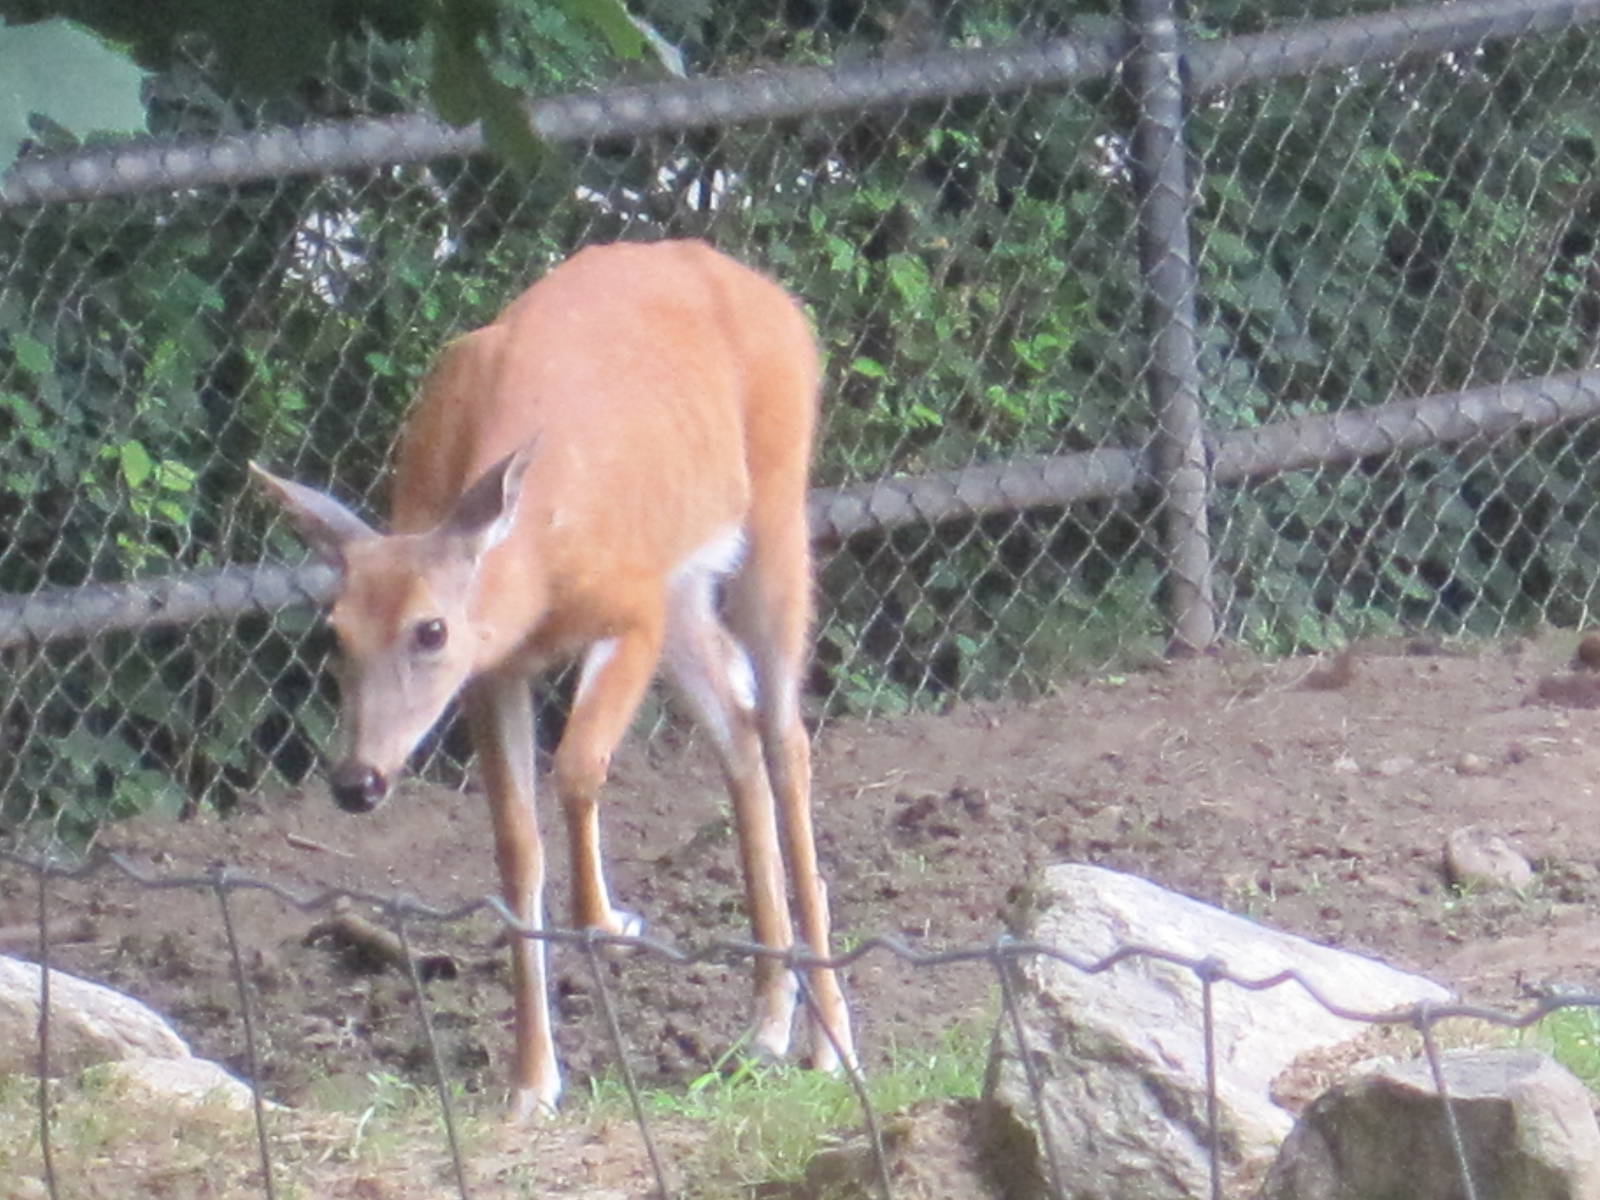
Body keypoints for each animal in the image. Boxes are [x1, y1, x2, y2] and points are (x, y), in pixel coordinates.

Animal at [250, 239, 856, 1119]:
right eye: (333, 632)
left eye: (431, 629)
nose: (358, 780)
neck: (531, 561)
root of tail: (763, 287)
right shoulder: (495, 670)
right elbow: (515, 848)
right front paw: (532, 1085)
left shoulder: (631, 606)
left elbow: (577, 766)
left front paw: (612, 923)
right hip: (686, 585)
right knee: (738, 732)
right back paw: (768, 1023)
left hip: (774, 517)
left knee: (784, 738)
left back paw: (831, 1043)